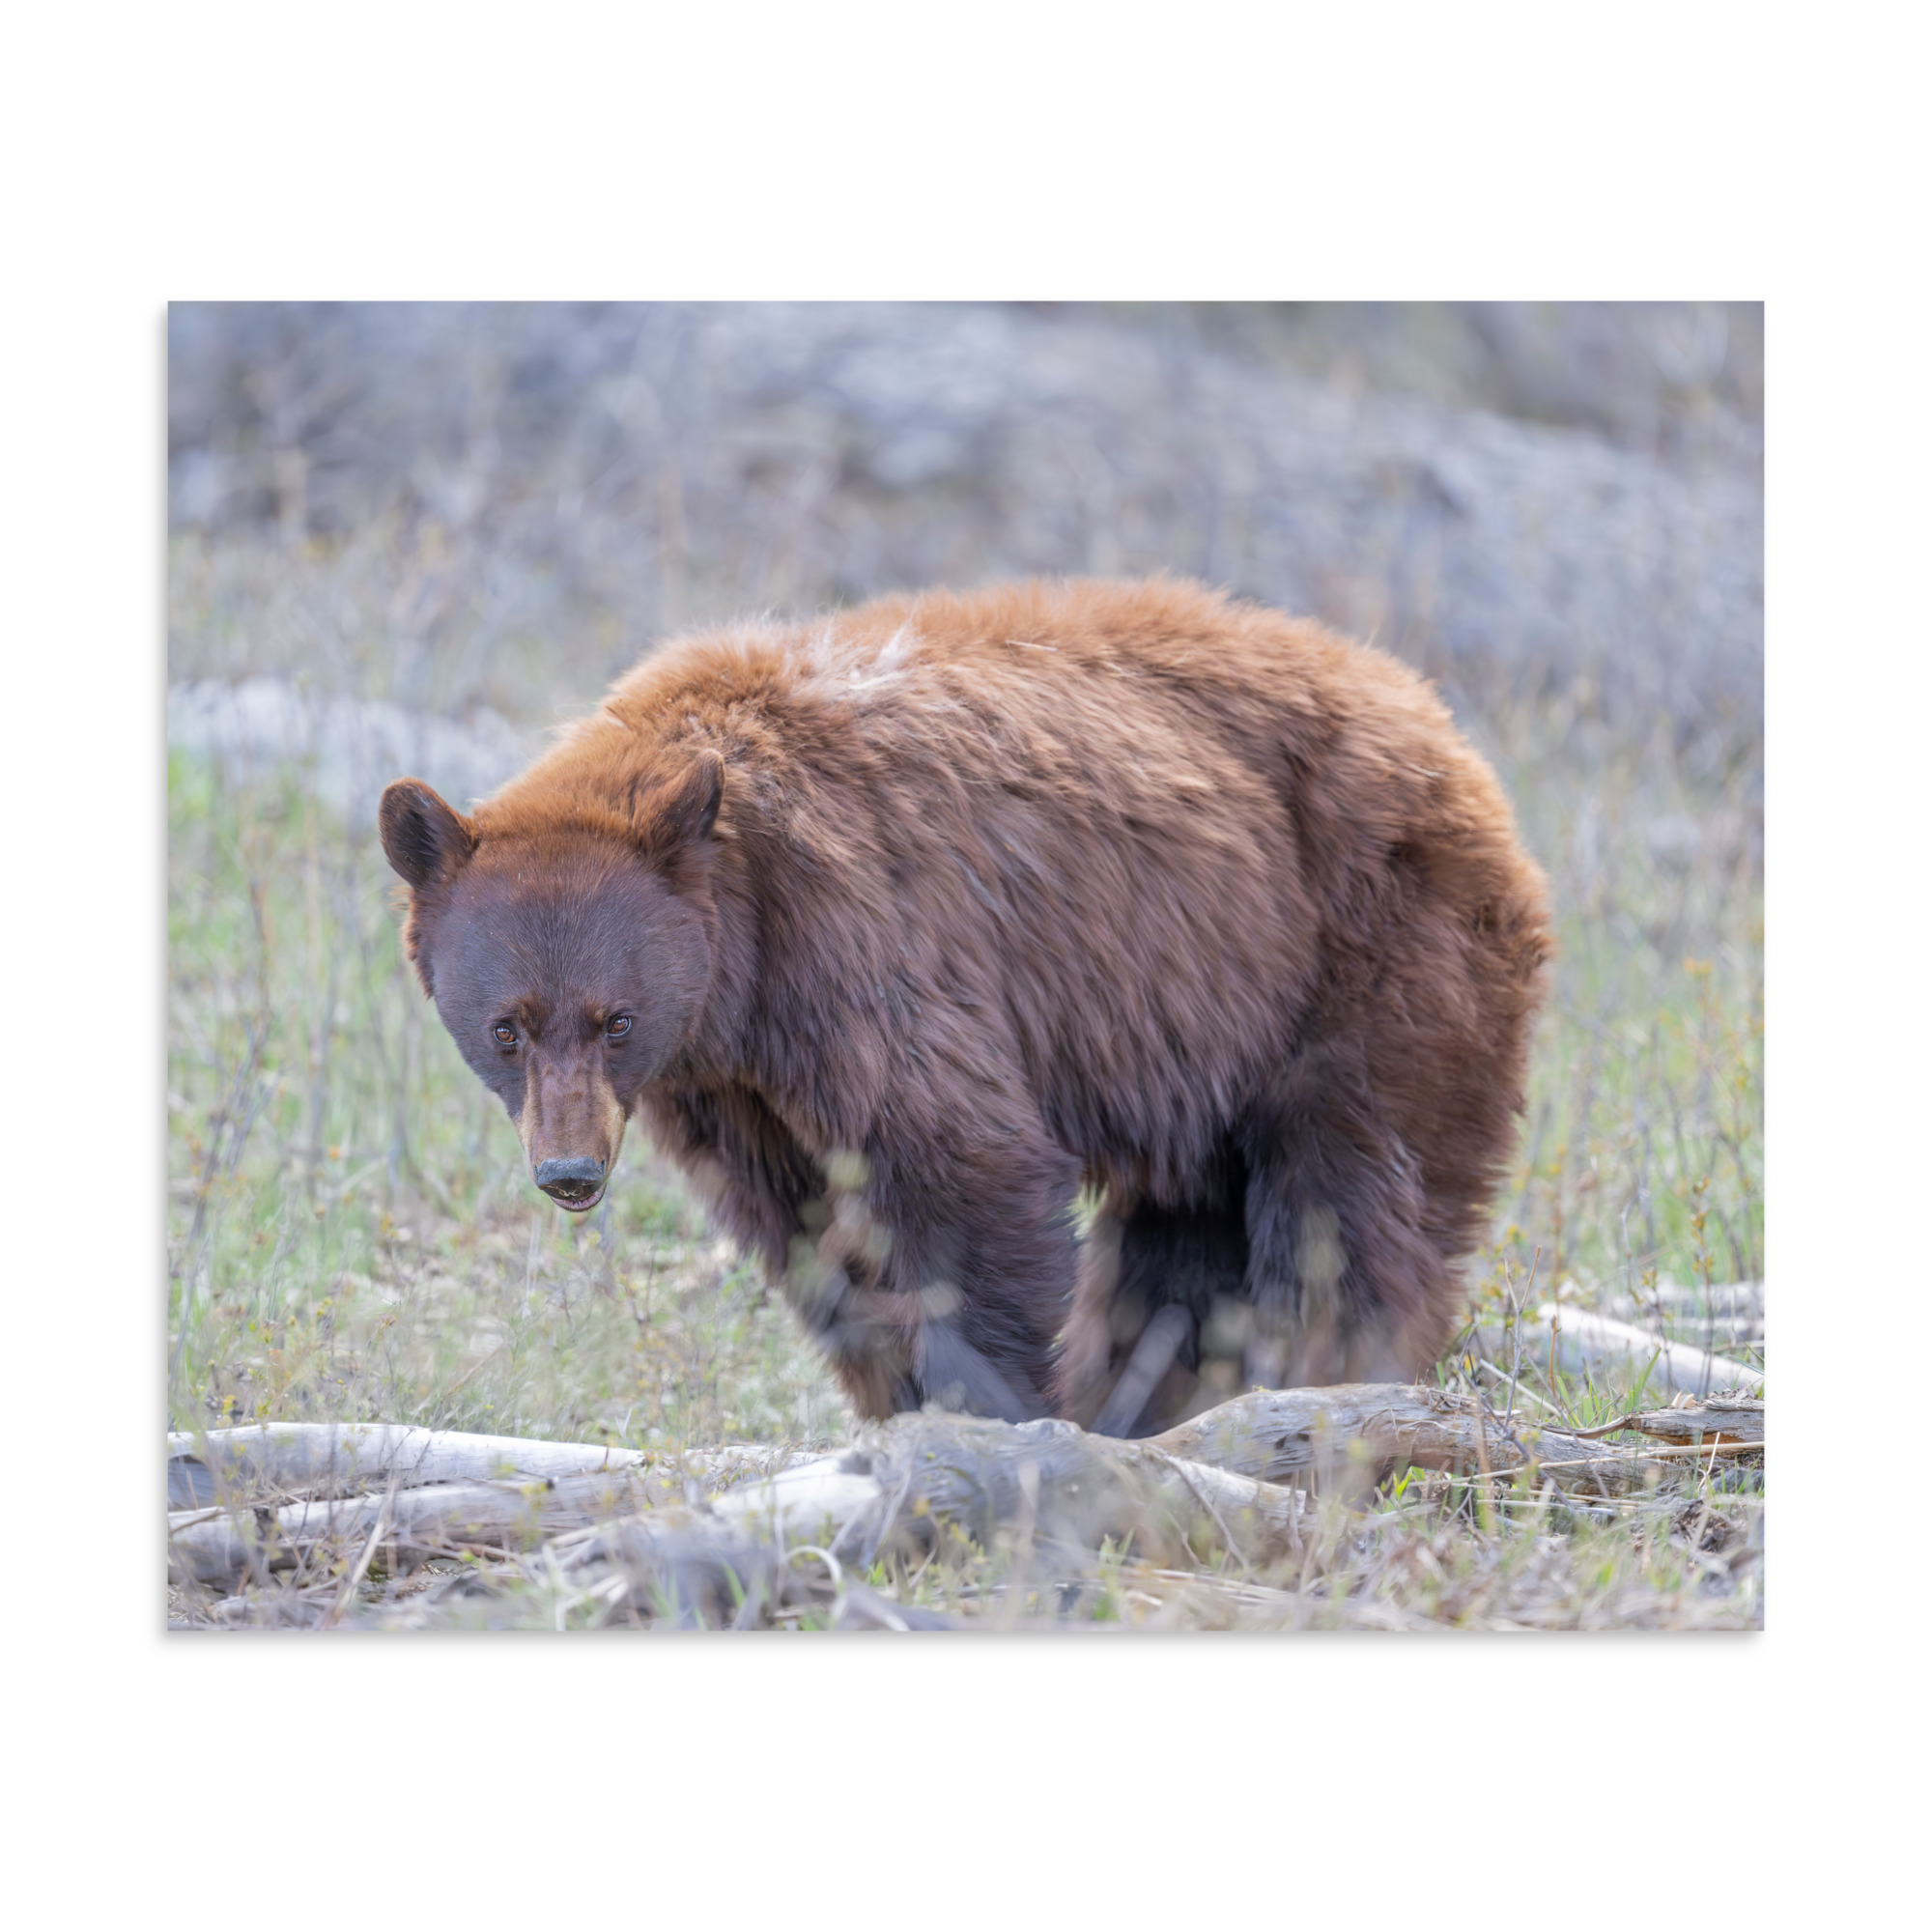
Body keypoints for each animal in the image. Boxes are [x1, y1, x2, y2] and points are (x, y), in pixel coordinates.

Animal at [379, 579, 1551, 1435]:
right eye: (507, 1027)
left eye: (614, 1019)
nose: (570, 1172)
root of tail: (1439, 723)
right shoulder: (731, 1082)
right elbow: (808, 1227)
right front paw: (899, 1400)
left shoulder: (863, 943)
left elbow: (959, 1168)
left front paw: (992, 1408)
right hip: (1209, 1027)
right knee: (1184, 1231)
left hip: (1366, 948)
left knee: (1350, 1193)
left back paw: (1322, 1374)